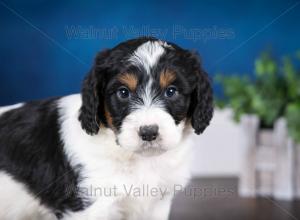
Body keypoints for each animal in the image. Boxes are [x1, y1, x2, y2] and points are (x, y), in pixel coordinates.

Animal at [0, 37, 213, 219]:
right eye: (123, 93)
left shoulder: (157, 205)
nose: (149, 133)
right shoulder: (88, 205)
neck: (136, 159)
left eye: (171, 91)